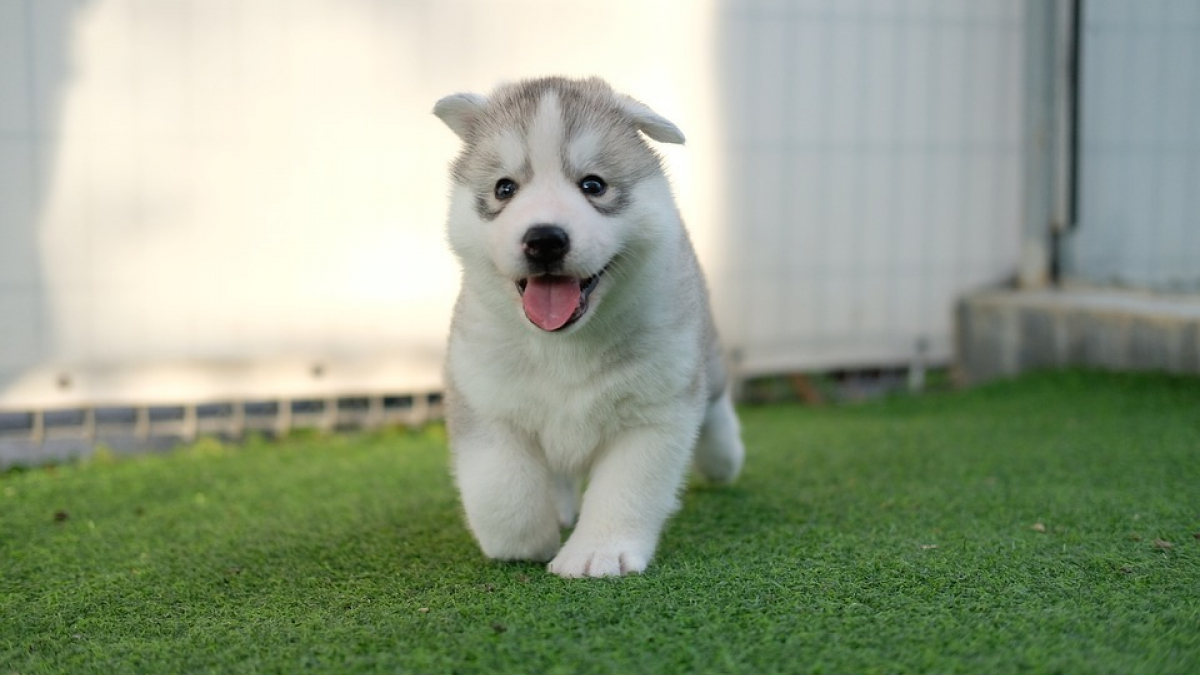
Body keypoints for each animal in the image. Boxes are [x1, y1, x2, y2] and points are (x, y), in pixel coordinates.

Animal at [436, 76, 744, 576]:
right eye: (504, 188)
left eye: (593, 185)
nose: (544, 239)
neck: (564, 345)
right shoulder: (485, 396)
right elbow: (502, 488)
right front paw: (524, 542)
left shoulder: (655, 410)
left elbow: (626, 489)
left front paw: (598, 553)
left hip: (705, 358)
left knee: (716, 402)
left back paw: (723, 458)